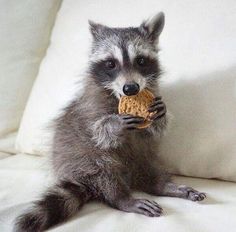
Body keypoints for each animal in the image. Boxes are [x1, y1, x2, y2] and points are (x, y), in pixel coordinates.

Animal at [14, 13, 206, 232]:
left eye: (141, 60)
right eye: (111, 64)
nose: (130, 88)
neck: (117, 96)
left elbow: (153, 131)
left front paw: (160, 116)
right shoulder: (90, 109)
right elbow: (98, 133)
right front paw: (115, 124)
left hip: (142, 158)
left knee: (150, 168)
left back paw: (162, 185)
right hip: (83, 162)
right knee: (103, 169)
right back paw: (121, 198)